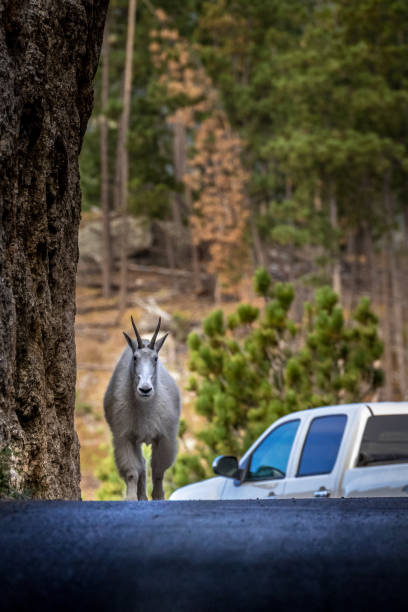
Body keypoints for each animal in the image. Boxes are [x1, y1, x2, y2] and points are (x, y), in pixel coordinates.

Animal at [104, 318, 181, 500]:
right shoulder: (124, 437)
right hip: (136, 440)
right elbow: (132, 472)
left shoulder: (165, 437)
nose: (145, 389)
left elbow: (159, 471)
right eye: (135, 358)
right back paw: (142, 497)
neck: (145, 408)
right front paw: (131, 498)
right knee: (141, 465)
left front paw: (159, 496)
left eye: (156, 358)